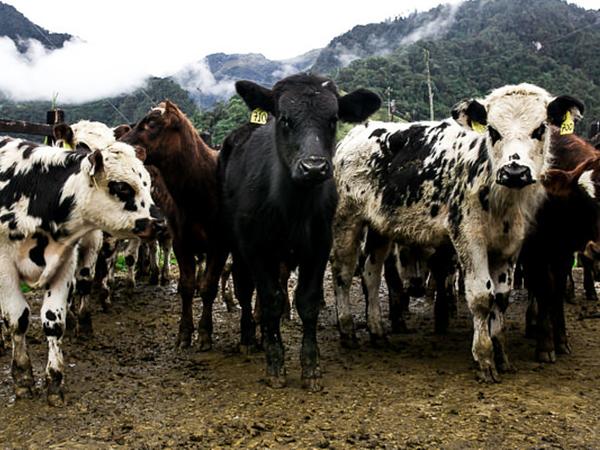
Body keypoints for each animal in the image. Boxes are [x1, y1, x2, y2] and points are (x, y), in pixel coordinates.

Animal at [0, 135, 163, 406]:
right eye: (122, 187)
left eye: (147, 183)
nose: (160, 223)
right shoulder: (4, 267)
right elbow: (18, 319)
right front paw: (22, 377)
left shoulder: (64, 263)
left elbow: (53, 321)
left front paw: (55, 380)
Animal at [120, 103, 227, 352]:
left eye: (151, 122)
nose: (120, 143)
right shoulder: (181, 241)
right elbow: (186, 286)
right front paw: (184, 333)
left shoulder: (220, 246)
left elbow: (209, 287)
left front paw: (205, 333)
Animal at [219, 72, 380, 388]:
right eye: (284, 119)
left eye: (333, 119)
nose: (314, 167)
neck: (293, 208)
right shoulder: (256, 248)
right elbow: (270, 299)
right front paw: (275, 365)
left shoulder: (318, 246)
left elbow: (307, 301)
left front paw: (311, 366)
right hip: (236, 244)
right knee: (245, 290)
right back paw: (248, 338)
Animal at [330, 82, 584, 382]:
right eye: (492, 130)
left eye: (540, 129)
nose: (514, 171)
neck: (501, 196)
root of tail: (356, 133)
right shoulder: (468, 238)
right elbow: (481, 296)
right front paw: (484, 357)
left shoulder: (510, 245)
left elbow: (501, 297)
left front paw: (501, 353)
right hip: (346, 220)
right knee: (344, 272)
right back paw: (347, 329)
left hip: (380, 228)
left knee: (371, 272)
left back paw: (377, 330)